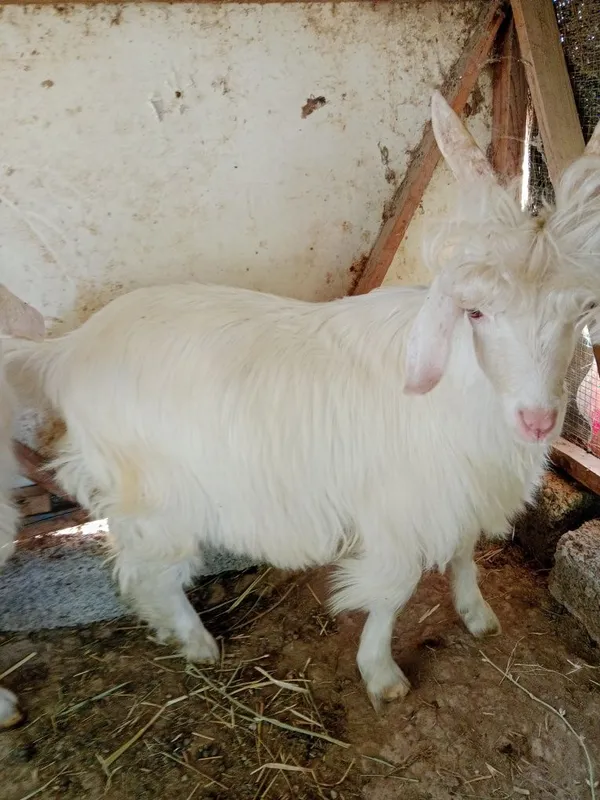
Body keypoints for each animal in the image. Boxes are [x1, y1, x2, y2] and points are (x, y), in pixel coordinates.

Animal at [6, 93, 600, 708]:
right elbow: (394, 589)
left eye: (582, 310)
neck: (464, 398)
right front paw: (381, 673)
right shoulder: (399, 506)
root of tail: (68, 349)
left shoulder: (458, 491)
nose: (538, 421)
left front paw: (477, 614)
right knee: (149, 567)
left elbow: (462, 551)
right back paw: (195, 641)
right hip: (152, 492)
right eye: (475, 312)